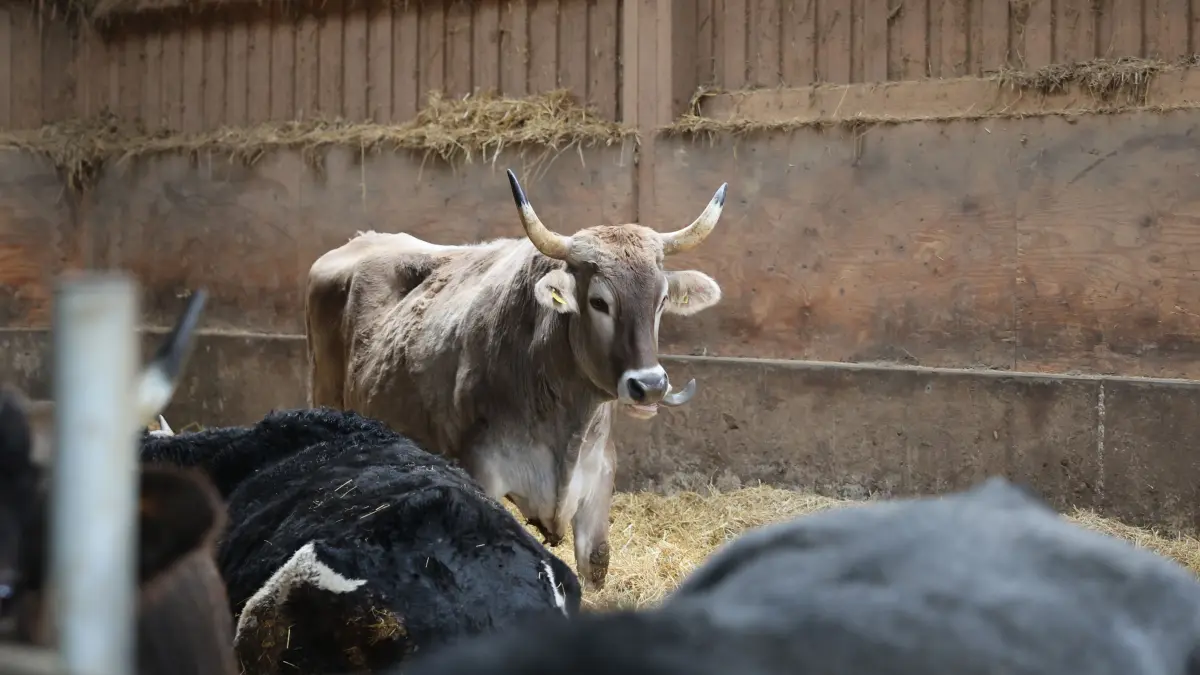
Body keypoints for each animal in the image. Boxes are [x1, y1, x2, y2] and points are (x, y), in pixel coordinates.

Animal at [305, 169, 728, 588]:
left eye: (661, 301)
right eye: (599, 302)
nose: (650, 386)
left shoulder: (598, 484)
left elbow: (596, 563)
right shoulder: (484, 476)